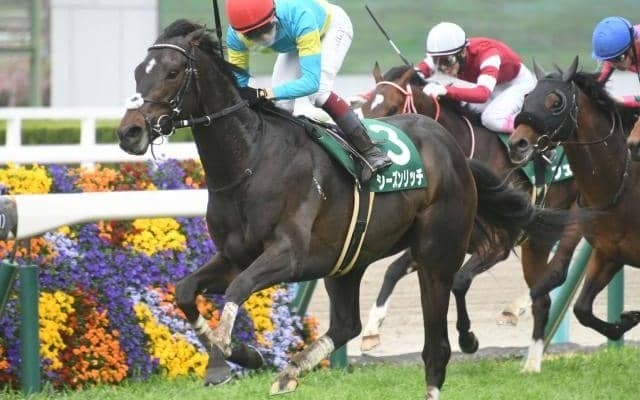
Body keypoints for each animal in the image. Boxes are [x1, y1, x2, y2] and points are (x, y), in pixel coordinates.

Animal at [357, 63, 581, 372]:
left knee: (557, 273)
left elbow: (460, 281)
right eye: (366, 106)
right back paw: (531, 360)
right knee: (544, 298)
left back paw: (517, 312)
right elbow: (393, 270)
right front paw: (371, 330)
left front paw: (468, 339)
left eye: (391, 107)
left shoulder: (497, 245)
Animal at [508, 56, 640, 343]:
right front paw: (625, 321)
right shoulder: (608, 253)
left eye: (556, 101)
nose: (517, 144)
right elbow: (582, 309)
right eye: (527, 97)